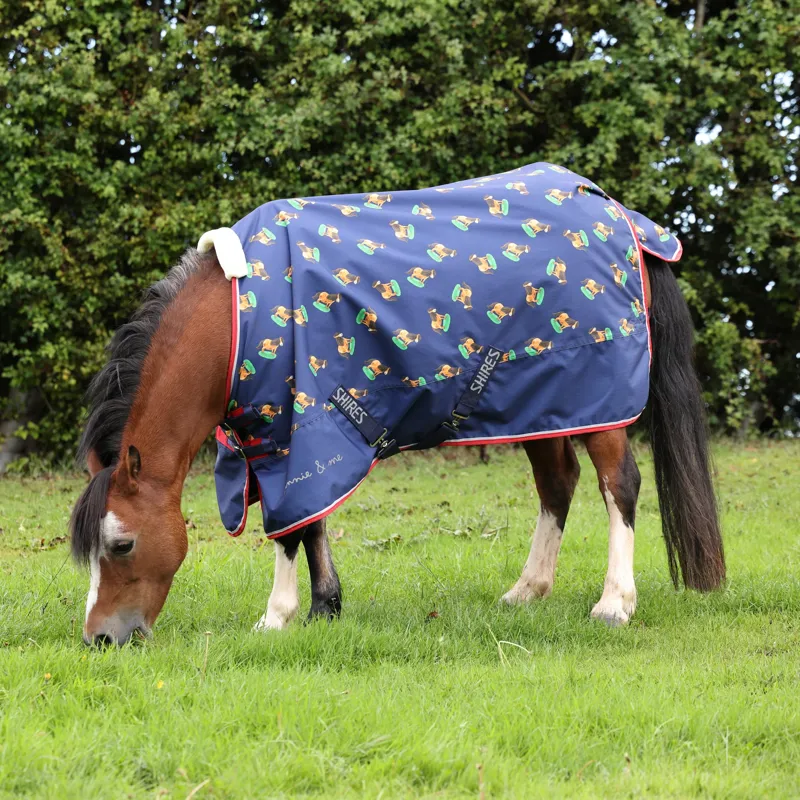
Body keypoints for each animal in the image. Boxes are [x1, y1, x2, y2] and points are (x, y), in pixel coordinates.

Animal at [70, 170, 724, 646]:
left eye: (122, 545)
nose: (101, 639)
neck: (235, 320)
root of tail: (624, 219)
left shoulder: (293, 434)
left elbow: (288, 528)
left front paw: (277, 615)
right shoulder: (284, 437)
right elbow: (308, 523)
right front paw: (324, 606)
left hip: (599, 399)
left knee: (620, 486)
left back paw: (615, 603)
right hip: (543, 402)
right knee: (557, 484)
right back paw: (527, 590)